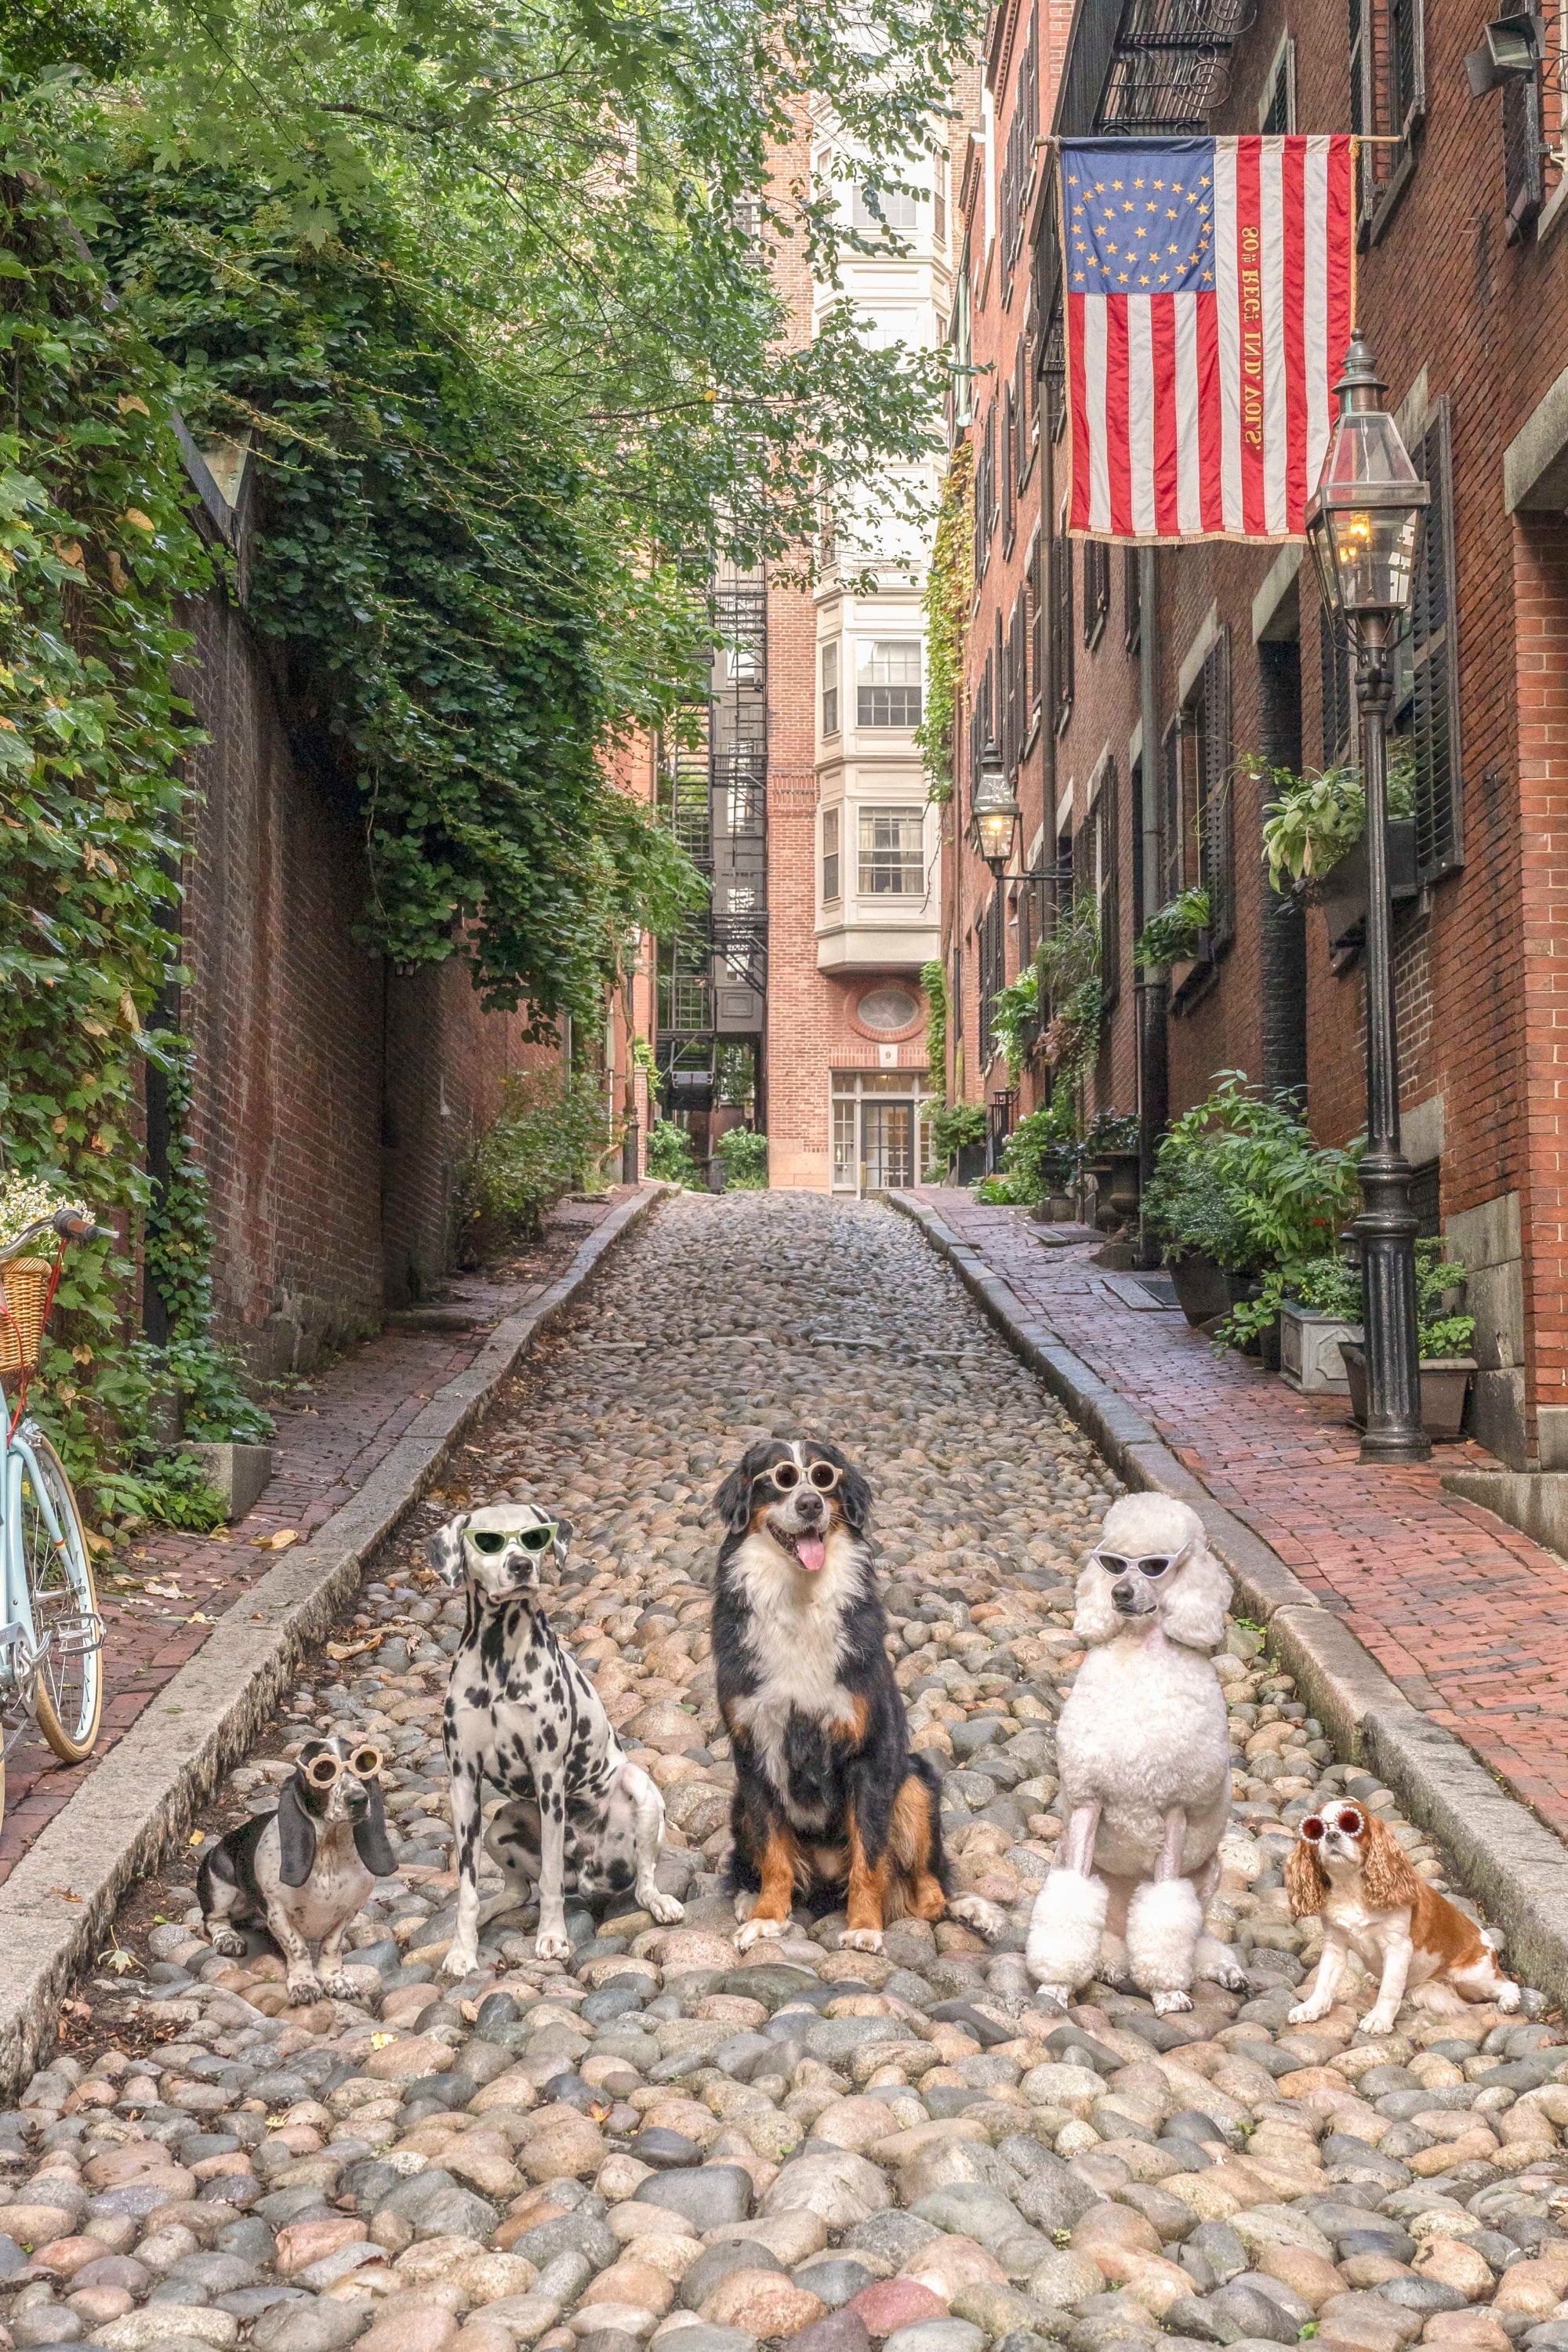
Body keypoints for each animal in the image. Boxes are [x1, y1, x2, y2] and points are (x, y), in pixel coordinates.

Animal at [196, 1731, 399, 2004]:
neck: (330, 1852)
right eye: (322, 1768)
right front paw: (304, 1985)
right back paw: (228, 1938)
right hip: (220, 1884)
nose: (359, 1799)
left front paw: (335, 1979)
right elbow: (298, 1948)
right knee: (214, 1919)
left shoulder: (349, 1911)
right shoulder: (278, 1913)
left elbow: (331, 1947)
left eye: (363, 1764)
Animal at [430, 1496, 681, 1976]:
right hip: (500, 1823)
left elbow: (547, 1878)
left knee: (642, 1879)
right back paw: (491, 1911)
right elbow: (467, 1886)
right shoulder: (463, 1782)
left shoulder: (548, 1776)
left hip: (638, 1786)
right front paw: (461, 1949)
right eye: (487, 1540)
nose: (521, 1565)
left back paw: (660, 1901)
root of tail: (588, 1874)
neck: (498, 1659)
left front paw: (551, 1937)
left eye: (534, 1537)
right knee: (514, 1891)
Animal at [710, 1430, 1006, 1947]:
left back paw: (969, 1913)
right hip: (738, 1801)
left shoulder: (869, 1753)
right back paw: (749, 1898)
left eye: (823, 1477)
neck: (800, 1600)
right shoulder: (754, 1752)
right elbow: (773, 1851)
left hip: (915, 1782)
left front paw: (864, 1928)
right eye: (780, 1478)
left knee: (929, 1891)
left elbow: (871, 1856)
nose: (809, 1503)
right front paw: (767, 1915)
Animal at [1288, 1806, 1523, 2032]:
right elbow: (1323, 1982)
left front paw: (1379, 2020)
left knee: (1508, 1985)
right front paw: (1311, 2008)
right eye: (1315, 1831)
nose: (1331, 1835)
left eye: (1352, 1823)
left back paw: (1509, 2002)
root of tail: (1489, 1944)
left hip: (1471, 1975)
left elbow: (1390, 1989)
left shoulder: (1397, 1947)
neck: (1351, 1889)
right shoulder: (1335, 1944)